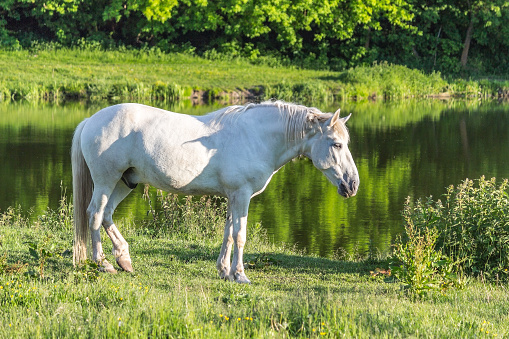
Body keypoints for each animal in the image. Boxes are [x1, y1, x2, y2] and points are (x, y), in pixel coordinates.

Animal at [71, 101, 360, 284]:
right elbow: (240, 236)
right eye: (336, 144)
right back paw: (104, 263)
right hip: (106, 180)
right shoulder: (241, 196)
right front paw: (240, 275)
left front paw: (224, 271)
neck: (256, 138)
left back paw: (124, 259)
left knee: (106, 215)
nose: (353, 184)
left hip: (124, 182)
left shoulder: (234, 197)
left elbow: (228, 235)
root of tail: (90, 120)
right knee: (95, 214)